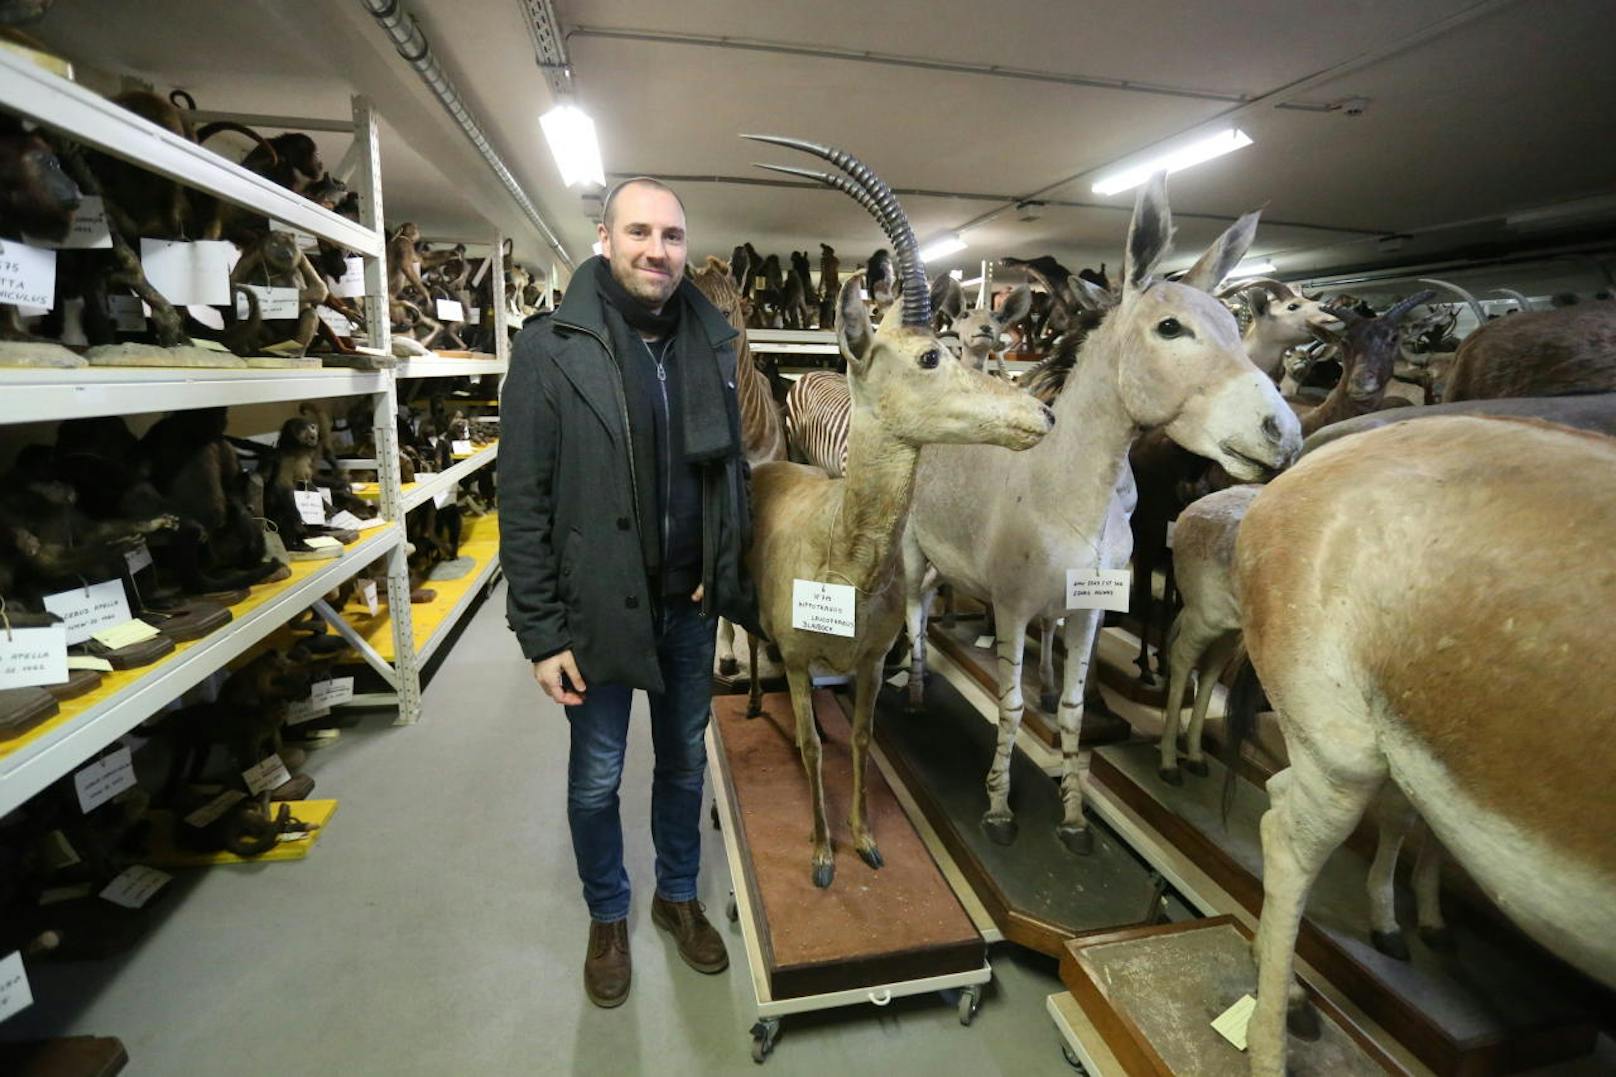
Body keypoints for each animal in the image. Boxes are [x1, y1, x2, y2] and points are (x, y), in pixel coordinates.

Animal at [740, 138, 1053, 886]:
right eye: (931, 353)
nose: (1042, 414)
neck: (842, 559)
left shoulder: (872, 663)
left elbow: (857, 739)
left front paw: (864, 840)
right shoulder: (803, 663)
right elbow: (811, 745)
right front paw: (822, 855)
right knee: (746, 644)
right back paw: (752, 702)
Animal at [898, 173, 1299, 847]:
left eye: (1234, 322)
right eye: (1170, 328)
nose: (1285, 434)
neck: (1069, 495)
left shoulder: (1086, 612)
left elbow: (1073, 709)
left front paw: (1073, 814)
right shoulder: (1013, 609)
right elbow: (1010, 705)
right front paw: (999, 806)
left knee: (926, 607)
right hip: (906, 553)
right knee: (908, 609)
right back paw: (913, 688)